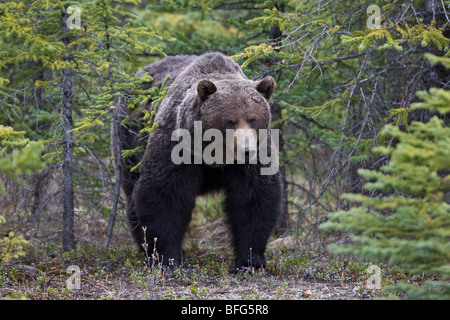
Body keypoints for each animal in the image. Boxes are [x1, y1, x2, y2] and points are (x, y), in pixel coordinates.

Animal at [119, 52, 282, 270]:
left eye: (253, 119)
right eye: (229, 121)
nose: (247, 150)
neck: (214, 154)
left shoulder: (252, 160)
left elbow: (253, 197)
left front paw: (251, 260)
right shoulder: (177, 145)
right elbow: (164, 193)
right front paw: (167, 258)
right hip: (129, 139)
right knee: (132, 192)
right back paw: (143, 246)